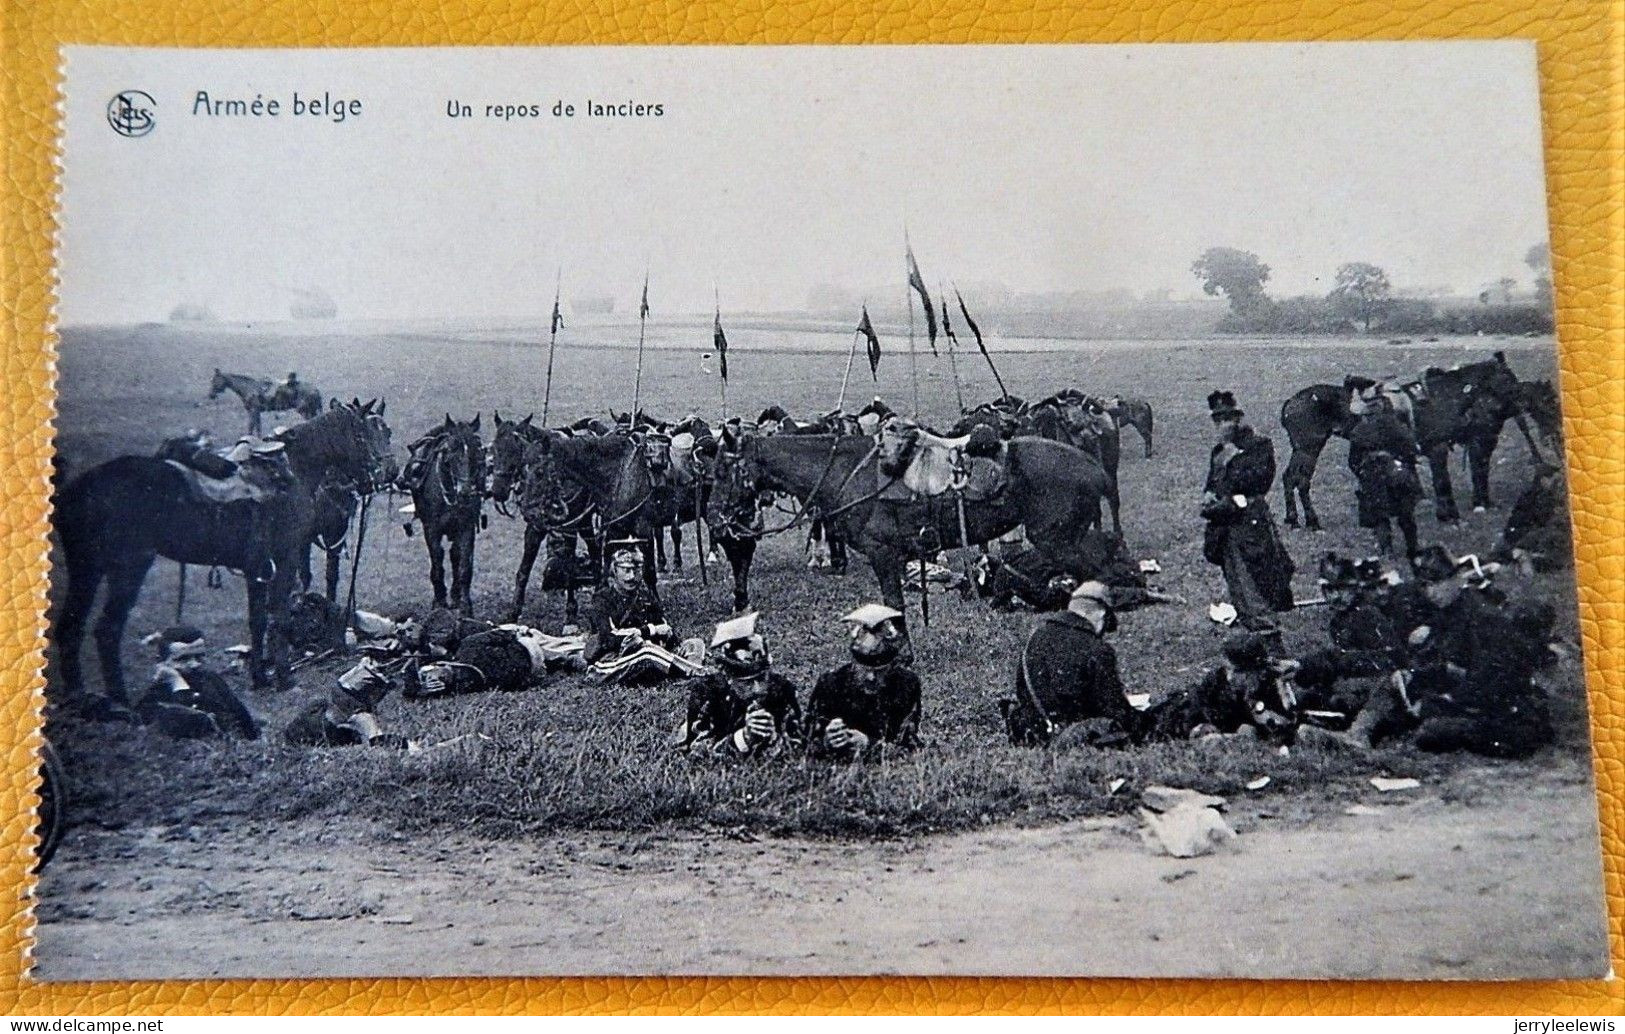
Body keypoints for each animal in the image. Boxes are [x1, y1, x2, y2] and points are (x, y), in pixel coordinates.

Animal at [57, 399, 393, 699]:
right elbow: (280, 617)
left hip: (87, 569)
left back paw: (81, 698)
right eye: (370, 433)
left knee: (71, 627)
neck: (296, 470)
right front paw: (284, 678)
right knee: (107, 630)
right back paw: (120, 701)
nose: (383, 475)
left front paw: (261, 677)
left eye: (387, 432)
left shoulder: (258, 568)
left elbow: (258, 620)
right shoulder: (283, 559)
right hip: (128, 568)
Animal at [409, 416, 484, 617]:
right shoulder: (431, 530)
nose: (465, 492)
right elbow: (437, 562)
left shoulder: (466, 528)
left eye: (476, 451)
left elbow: (464, 565)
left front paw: (465, 606)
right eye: (450, 452)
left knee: (455, 555)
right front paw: (439, 602)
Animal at [718, 429, 1111, 617]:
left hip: (1058, 541)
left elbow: (893, 607)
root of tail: (1095, 468)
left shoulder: (883, 554)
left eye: (724, 469)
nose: (721, 521)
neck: (847, 470)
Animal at [1280, 356, 1534, 533]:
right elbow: (1443, 483)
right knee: (1300, 480)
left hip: (1303, 449)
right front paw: (1449, 516)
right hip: (1309, 448)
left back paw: (1293, 520)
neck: (1444, 397)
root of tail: (1290, 402)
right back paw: (1312, 522)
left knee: (1289, 478)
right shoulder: (1438, 449)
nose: (1523, 401)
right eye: (1507, 377)